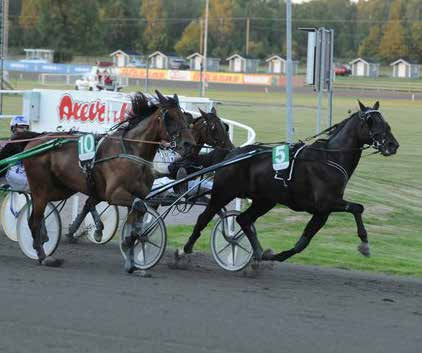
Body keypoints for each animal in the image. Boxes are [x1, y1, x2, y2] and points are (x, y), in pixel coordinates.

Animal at [21, 90, 195, 270]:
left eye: (183, 116)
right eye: (170, 117)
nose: (189, 144)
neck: (132, 153)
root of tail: (33, 141)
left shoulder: (137, 195)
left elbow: (138, 213)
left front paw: (132, 257)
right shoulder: (115, 194)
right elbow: (139, 206)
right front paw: (125, 242)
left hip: (60, 189)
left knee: (36, 213)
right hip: (42, 188)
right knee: (34, 220)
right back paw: (43, 256)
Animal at [177, 100, 398, 262]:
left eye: (385, 121)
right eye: (370, 121)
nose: (392, 144)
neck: (330, 158)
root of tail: (231, 153)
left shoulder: (322, 211)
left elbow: (304, 241)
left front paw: (277, 256)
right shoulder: (326, 202)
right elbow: (358, 207)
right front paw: (364, 245)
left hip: (264, 200)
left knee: (244, 220)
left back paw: (259, 252)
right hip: (223, 192)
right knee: (204, 218)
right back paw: (184, 250)